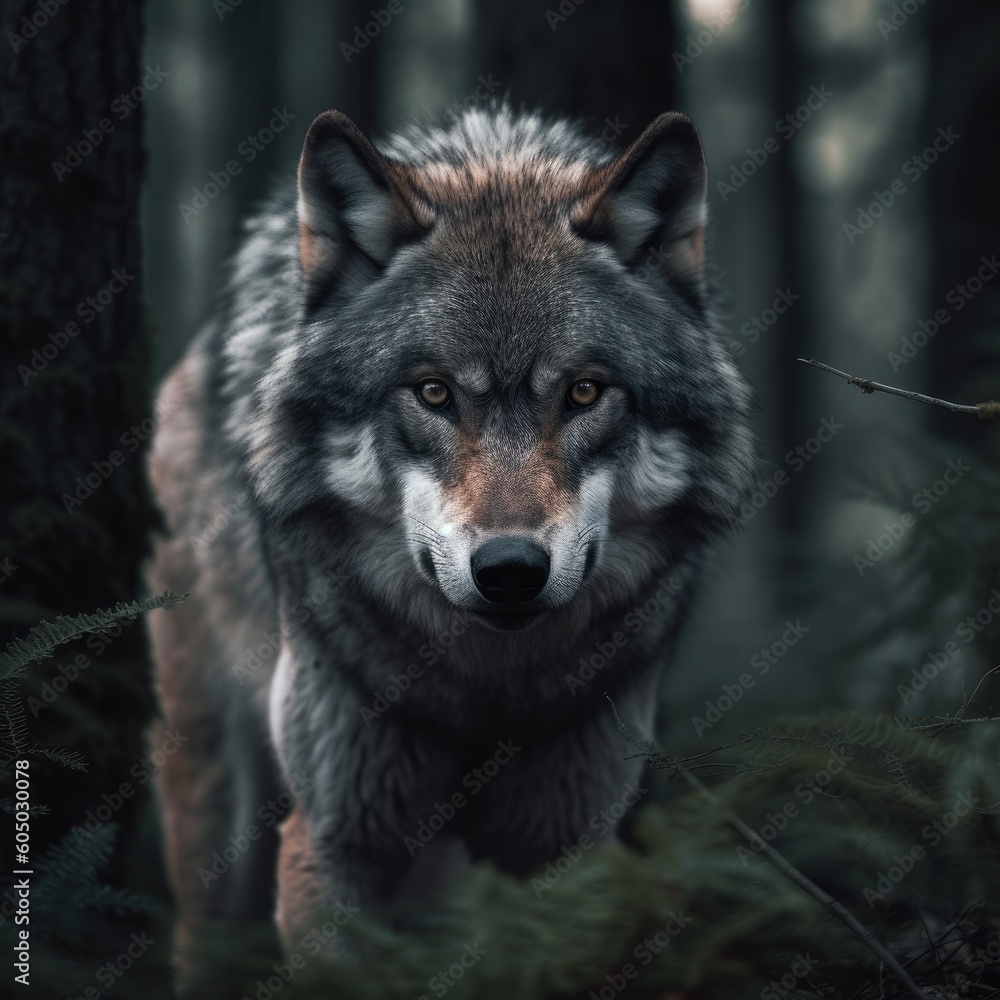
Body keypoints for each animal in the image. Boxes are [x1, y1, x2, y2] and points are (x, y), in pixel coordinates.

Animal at [146, 105, 756, 974]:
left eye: (585, 392)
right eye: (433, 393)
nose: (510, 569)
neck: (484, 694)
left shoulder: (571, 838)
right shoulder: (335, 837)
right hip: (219, 821)